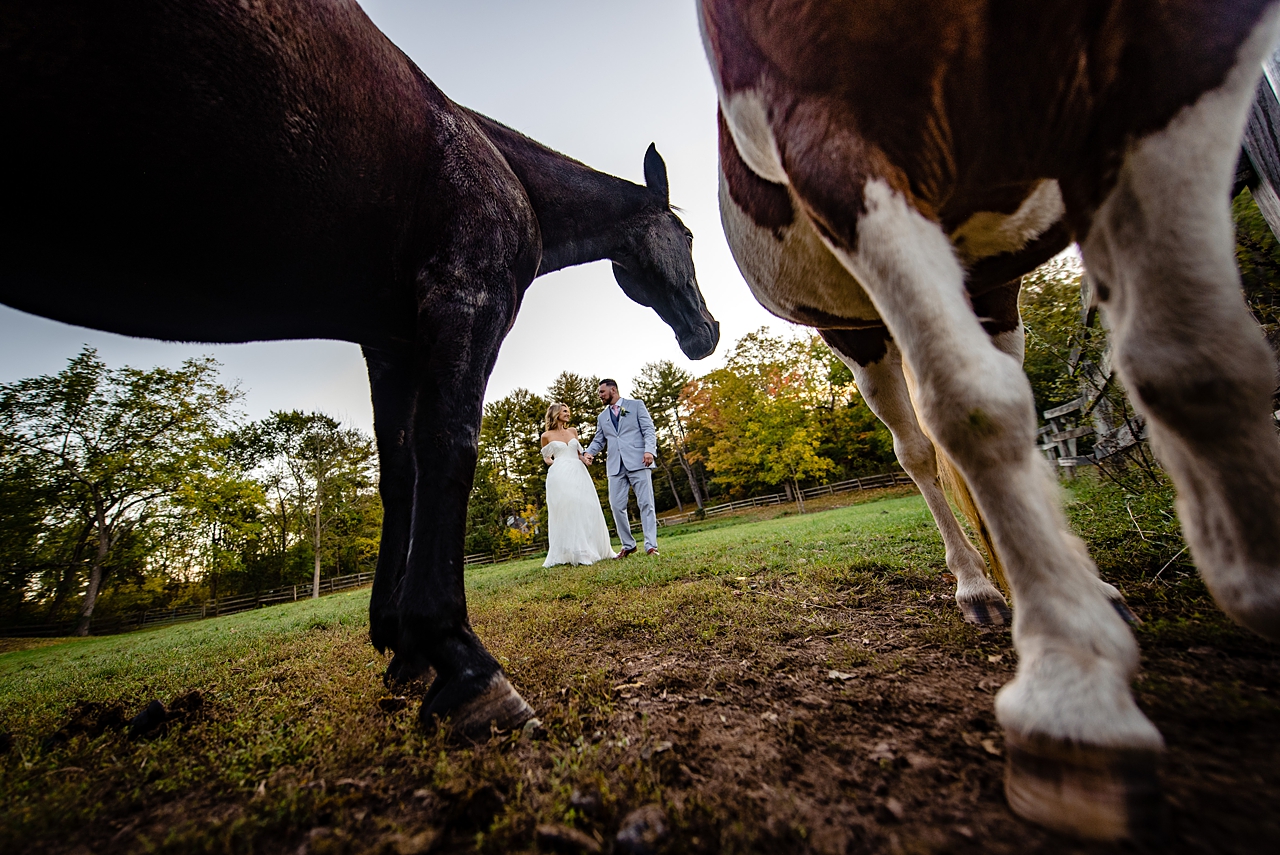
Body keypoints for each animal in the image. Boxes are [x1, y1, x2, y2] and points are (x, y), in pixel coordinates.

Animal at [0, 0, 721, 737]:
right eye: (690, 236)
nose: (707, 332)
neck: (497, 166)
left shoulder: (391, 344)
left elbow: (399, 474)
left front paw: (402, 647)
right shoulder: (467, 301)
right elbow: (448, 450)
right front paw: (459, 658)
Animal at [701, 0, 1280, 839]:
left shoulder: (1174, 69)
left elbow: (1194, 355)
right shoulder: (832, 142)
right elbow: (970, 411)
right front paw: (1072, 690)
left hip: (990, 284)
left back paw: (1075, 585)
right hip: (861, 330)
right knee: (923, 448)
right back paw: (983, 587)